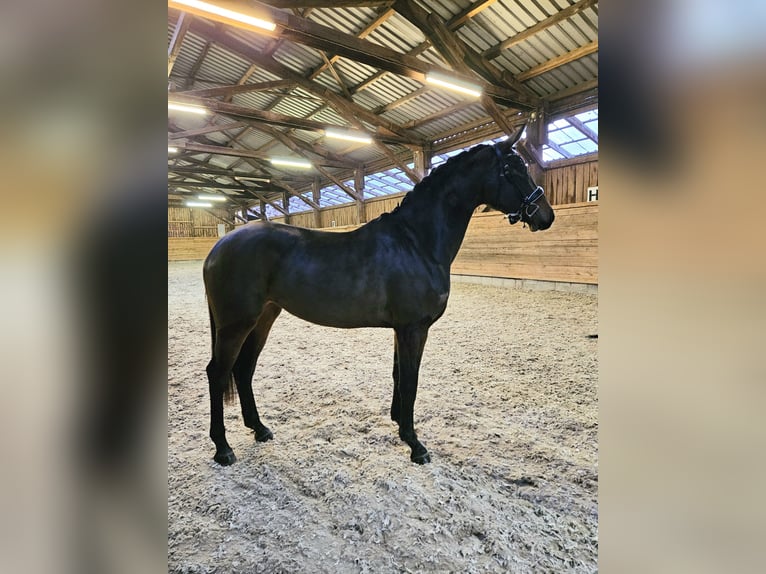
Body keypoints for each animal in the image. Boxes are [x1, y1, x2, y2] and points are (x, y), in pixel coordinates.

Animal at [201, 136, 556, 468]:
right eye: (514, 169)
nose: (547, 216)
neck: (417, 242)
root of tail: (219, 246)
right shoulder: (414, 328)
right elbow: (411, 381)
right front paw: (415, 445)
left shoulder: (402, 329)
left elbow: (399, 376)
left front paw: (399, 425)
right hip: (236, 324)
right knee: (218, 373)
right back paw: (223, 448)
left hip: (263, 318)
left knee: (244, 369)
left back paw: (259, 429)